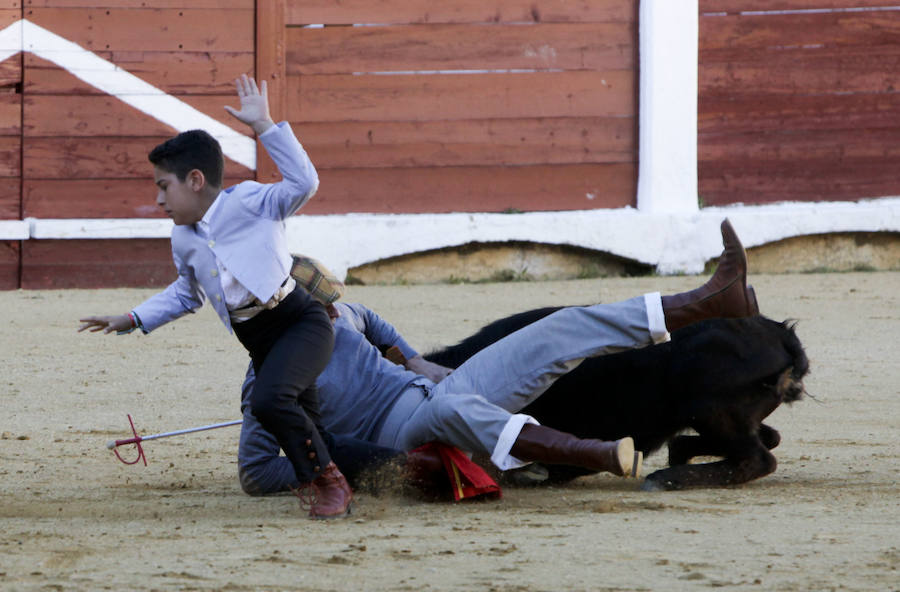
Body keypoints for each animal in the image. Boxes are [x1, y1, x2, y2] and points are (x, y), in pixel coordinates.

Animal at [426, 310, 812, 490]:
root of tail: (778, 334)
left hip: (709, 407)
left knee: (758, 458)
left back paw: (668, 478)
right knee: (767, 439)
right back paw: (680, 454)